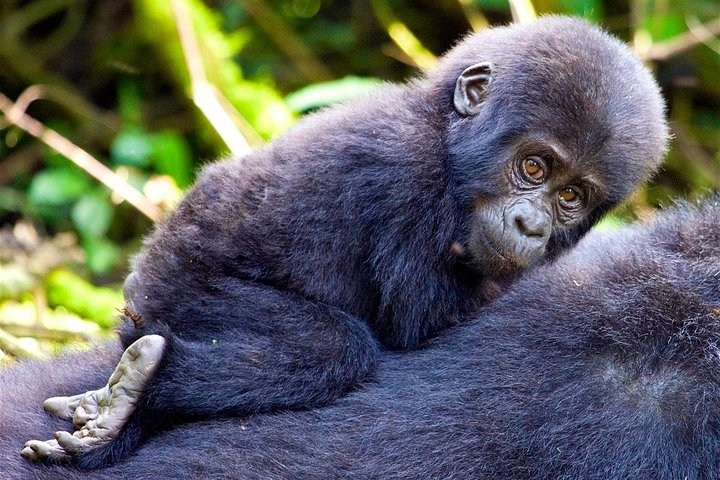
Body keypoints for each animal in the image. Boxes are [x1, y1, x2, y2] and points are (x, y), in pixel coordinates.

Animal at [20, 16, 667, 468]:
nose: (532, 227)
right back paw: (142, 389)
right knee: (330, 349)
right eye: (534, 167)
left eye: (573, 196)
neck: (443, 132)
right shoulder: (406, 180)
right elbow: (419, 330)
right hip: (179, 284)